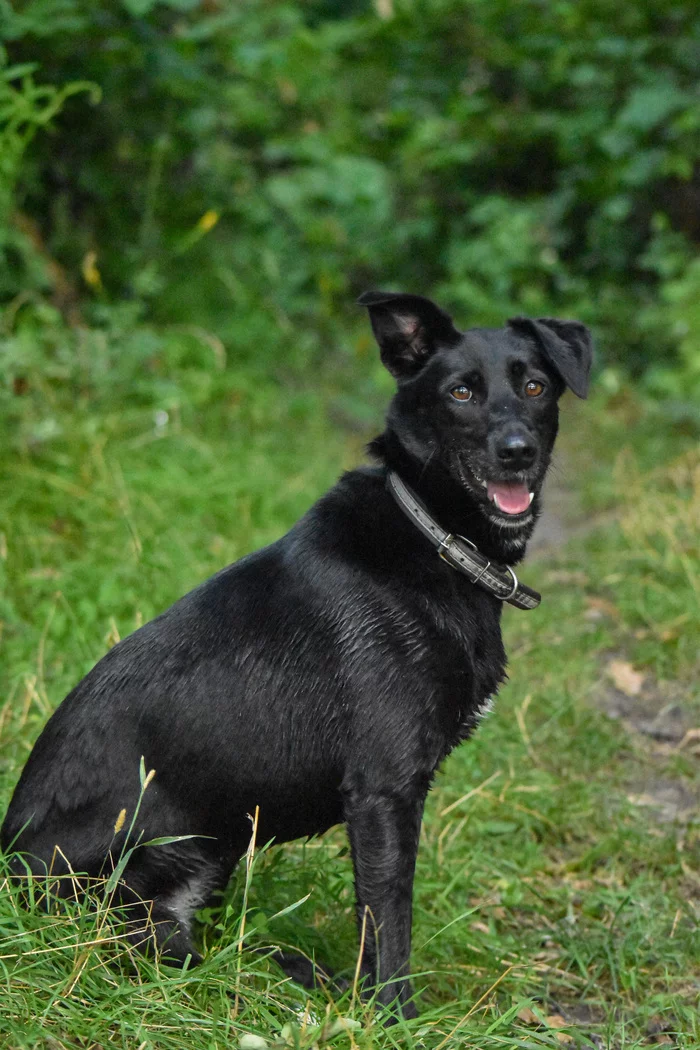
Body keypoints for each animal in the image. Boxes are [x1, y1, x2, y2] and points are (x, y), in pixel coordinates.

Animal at [1, 294, 591, 1016]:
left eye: (535, 387)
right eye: (461, 393)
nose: (517, 453)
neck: (434, 534)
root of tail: (8, 868)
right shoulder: (383, 789)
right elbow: (388, 919)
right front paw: (393, 1017)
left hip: (216, 846)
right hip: (153, 840)